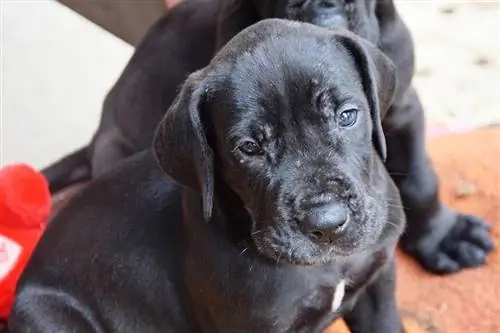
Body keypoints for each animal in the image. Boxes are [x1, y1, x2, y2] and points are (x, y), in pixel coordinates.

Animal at [42, 0, 492, 272]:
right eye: (251, 148)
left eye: (347, 117)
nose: (322, 13)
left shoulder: (401, 107)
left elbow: (419, 176)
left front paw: (443, 236)